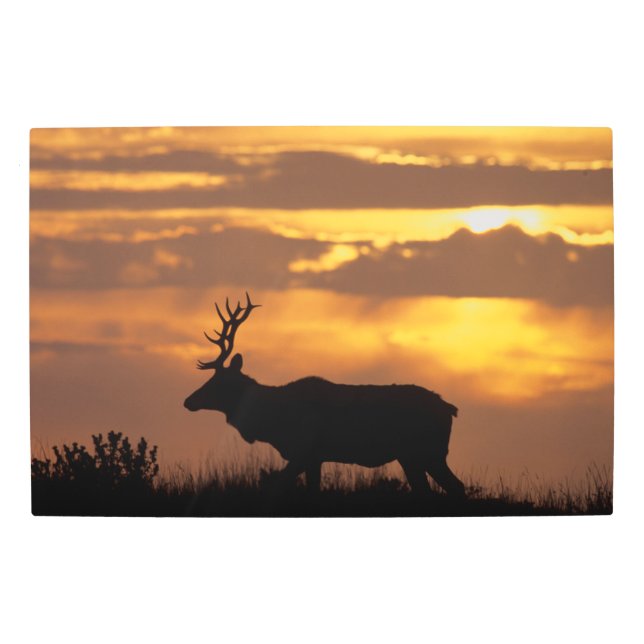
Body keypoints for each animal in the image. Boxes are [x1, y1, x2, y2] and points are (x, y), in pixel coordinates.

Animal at [184, 293, 465, 498]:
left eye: (218, 381)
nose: (188, 401)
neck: (273, 421)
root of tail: (450, 408)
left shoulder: (303, 451)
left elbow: (278, 487)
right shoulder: (315, 458)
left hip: (427, 451)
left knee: (456, 487)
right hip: (413, 456)